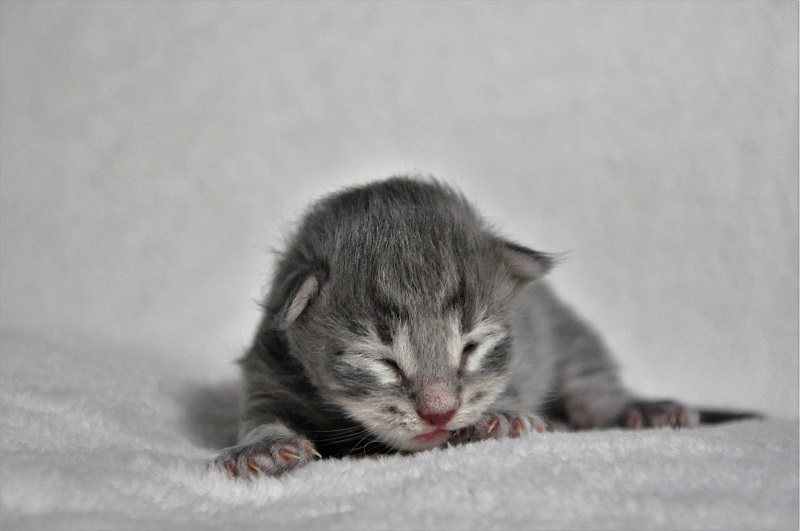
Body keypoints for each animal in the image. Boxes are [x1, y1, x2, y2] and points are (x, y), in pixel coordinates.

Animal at [213, 176, 758, 478]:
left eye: (471, 348)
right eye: (382, 361)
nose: (439, 412)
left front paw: (503, 417)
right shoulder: (268, 367)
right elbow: (261, 414)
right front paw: (261, 446)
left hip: (569, 334)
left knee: (596, 390)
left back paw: (639, 409)